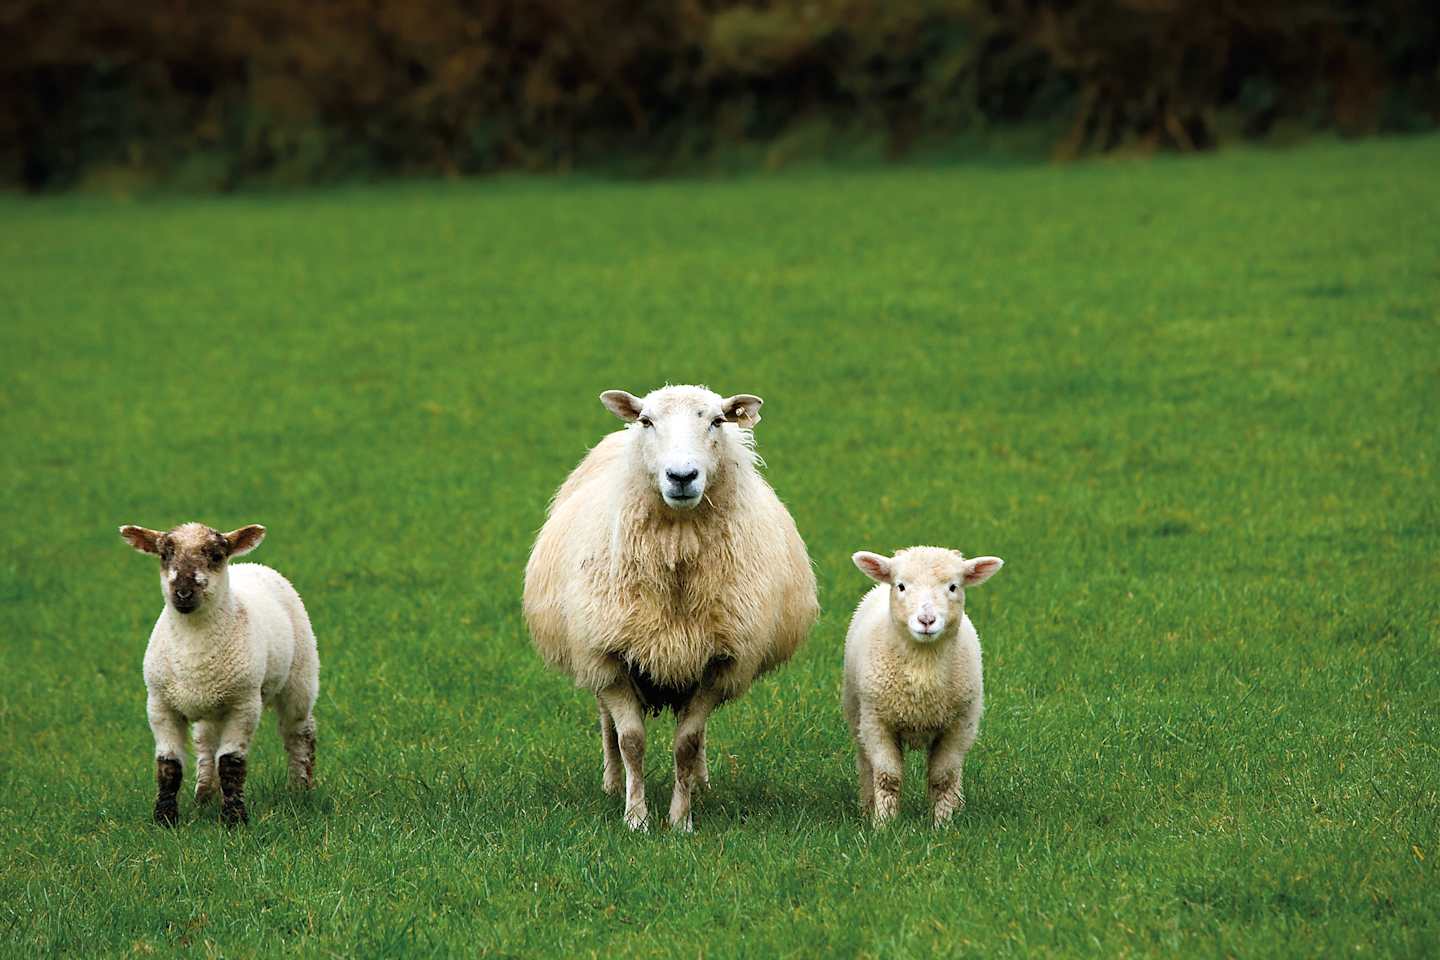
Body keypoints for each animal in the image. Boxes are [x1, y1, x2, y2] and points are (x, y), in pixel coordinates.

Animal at [119, 522, 319, 826]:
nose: (183, 593)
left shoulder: (243, 705)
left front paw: (234, 819)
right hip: (211, 705)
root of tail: (250, 564)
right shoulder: (159, 705)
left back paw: (300, 789)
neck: (194, 649)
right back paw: (204, 796)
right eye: (165, 555)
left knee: (298, 733)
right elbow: (168, 765)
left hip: (301, 676)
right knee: (205, 745)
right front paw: (164, 819)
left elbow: (231, 762)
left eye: (215, 555)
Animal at [523, 384, 819, 831]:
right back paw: (612, 783)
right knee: (607, 724)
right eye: (647, 421)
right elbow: (630, 741)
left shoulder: (718, 663)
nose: (682, 477)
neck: (677, 554)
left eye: (717, 420)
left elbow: (688, 743)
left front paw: (681, 820)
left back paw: (701, 782)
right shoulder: (608, 656)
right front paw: (636, 818)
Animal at [844, 546, 1003, 826]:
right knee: (865, 763)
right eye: (901, 586)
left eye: (953, 587)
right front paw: (884, 825)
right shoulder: (876, 722)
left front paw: (943, 824)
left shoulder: (959, 725)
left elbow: (944, 777)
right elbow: (887, 776)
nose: (926, 620)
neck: (923, 667)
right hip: (857, 714)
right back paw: (867, 807)